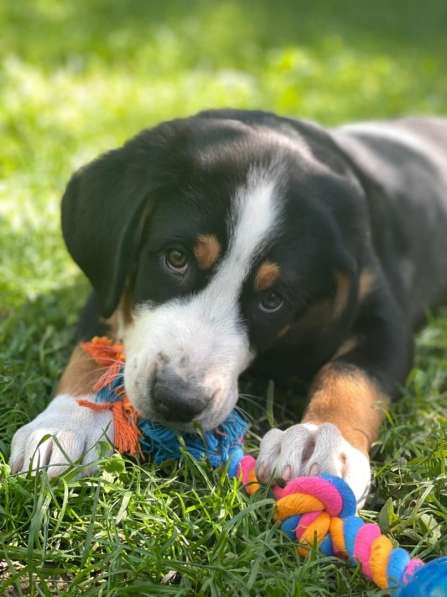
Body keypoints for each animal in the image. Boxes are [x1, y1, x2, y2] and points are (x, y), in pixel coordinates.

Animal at [8, 110, 447, 502]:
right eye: (176, 258)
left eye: (272, 300)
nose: (178, 401)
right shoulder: (108, 287)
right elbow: (92, 355)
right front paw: (68, 424)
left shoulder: (379, 315)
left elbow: (351, 376)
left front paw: (321, 440)